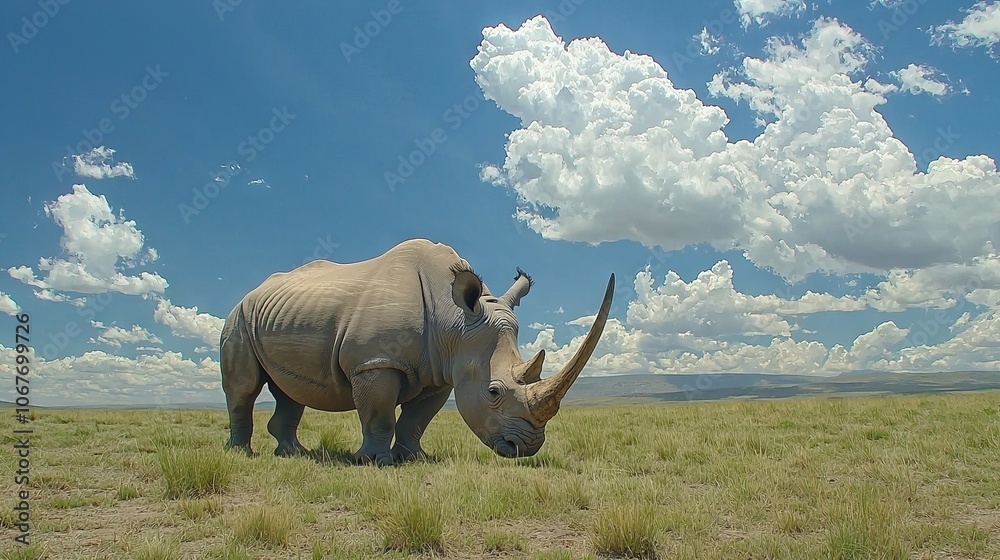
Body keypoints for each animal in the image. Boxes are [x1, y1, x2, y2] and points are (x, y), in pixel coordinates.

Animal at [219, 238, 613, 466]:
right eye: (493, 392)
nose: (526, 447)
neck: (455, 321)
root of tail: (253, 291)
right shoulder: (376, 362)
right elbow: (379, 414)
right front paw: (376, 462)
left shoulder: (442, 371)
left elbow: (416, 419)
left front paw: (415, 457)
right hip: (239, 315)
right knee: (244, 387)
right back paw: (241, 454)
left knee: (290, 391)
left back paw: (292, 454)